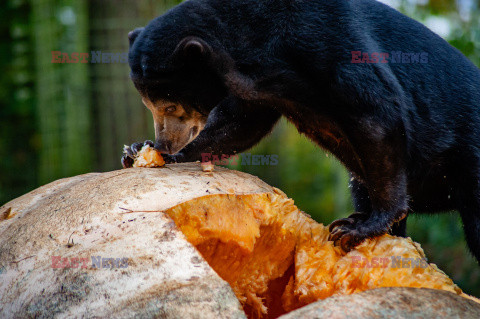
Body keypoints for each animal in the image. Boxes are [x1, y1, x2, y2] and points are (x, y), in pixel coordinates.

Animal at [122, 0, 480, 264]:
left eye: (170, 106)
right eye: (148, 105)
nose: (166, 142)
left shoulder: (327, 41)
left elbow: (377, 111)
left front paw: (360, 227)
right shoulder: (260, 89)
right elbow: (240, 124)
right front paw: (140, 151)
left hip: (469, 159)